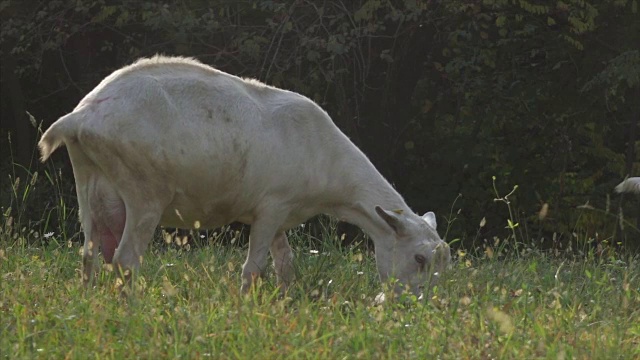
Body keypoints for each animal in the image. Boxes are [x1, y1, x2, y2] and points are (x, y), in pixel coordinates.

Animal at [40, 54, 450, 294]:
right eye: (419, 259)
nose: (413, 307)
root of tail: (80, 116)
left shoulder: (282, 215)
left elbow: (286, 266)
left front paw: (285, 303)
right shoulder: (271, 206)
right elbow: (253, 268)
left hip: (90, 181)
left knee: (90, 255)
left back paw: (93, 306)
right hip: (143, 191)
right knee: (125, 260)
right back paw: (130, 311)